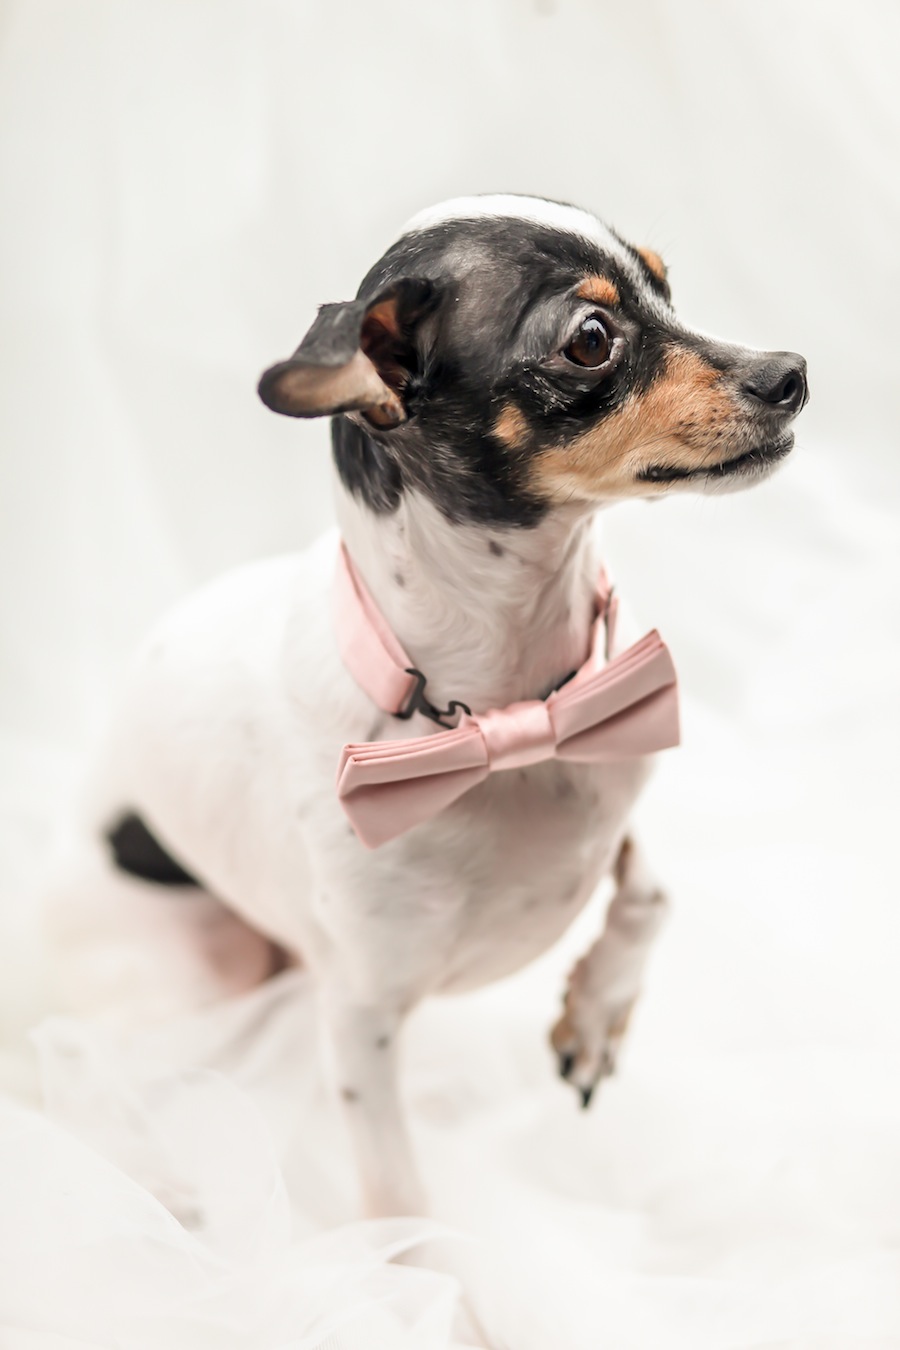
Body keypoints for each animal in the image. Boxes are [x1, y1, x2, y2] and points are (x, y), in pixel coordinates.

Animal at [79, 195, 809, 1220]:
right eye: (591, 340)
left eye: (668, 285)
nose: (792, 373)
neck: (505, 721)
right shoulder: (361, 1024)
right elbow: (403, 1208)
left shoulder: (614, 785)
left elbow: (652, 895)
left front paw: (594, 1017)